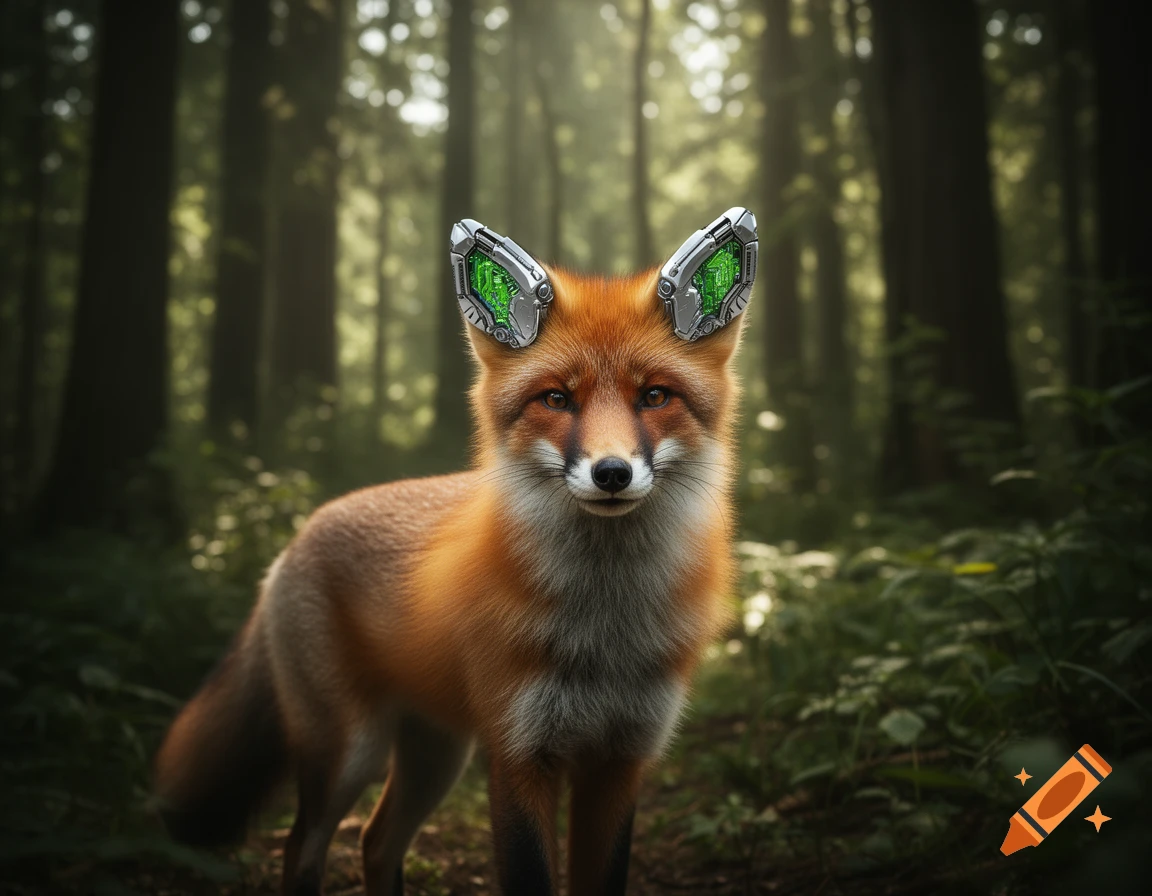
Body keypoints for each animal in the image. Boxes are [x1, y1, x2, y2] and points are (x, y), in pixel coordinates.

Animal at [154, 207, 758, 896]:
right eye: (557, 399)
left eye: (654, 396)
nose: (611, 473)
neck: (604, 631)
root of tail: (300, 534)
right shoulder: (517, 754)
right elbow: (528, 876)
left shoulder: (620, 762)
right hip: (351, 753)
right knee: (301, 846)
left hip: (436, 754)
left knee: (374, 841)